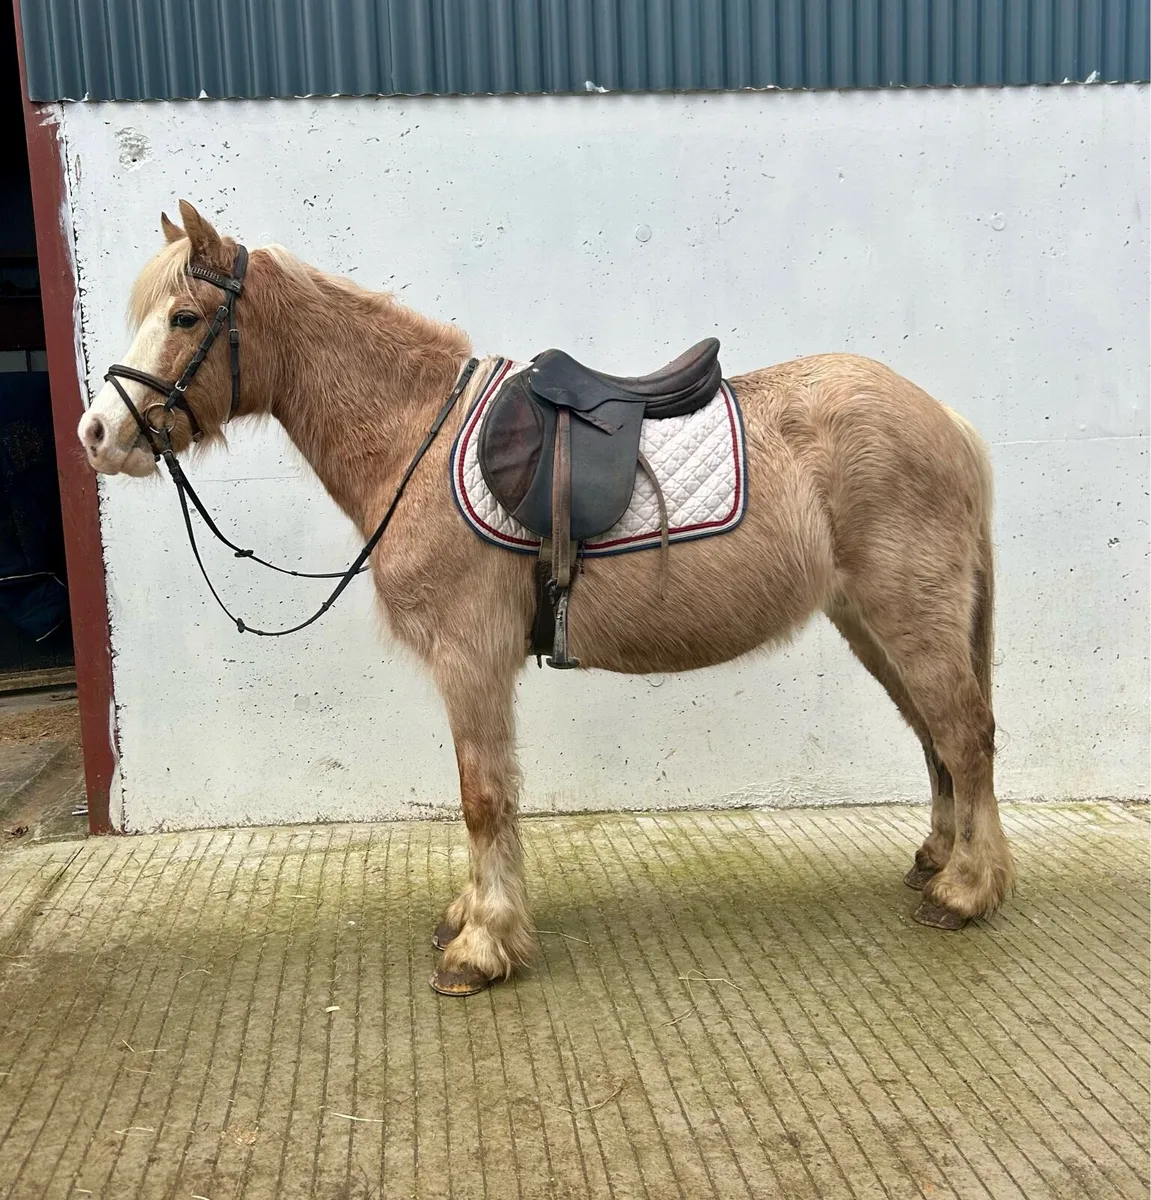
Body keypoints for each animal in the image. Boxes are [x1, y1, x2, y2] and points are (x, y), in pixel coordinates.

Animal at [78, 201, 1014, 996]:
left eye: (184, 318)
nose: (97, 433)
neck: (417, 439)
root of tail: (946, 421)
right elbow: (490, 794)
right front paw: (474, 917)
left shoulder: (470, 658)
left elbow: (482, 797)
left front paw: (481, 946)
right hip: (871, 623)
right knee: (936, 738)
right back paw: (939, 862)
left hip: (908, 617)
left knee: (964, 735)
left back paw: (965, 891)